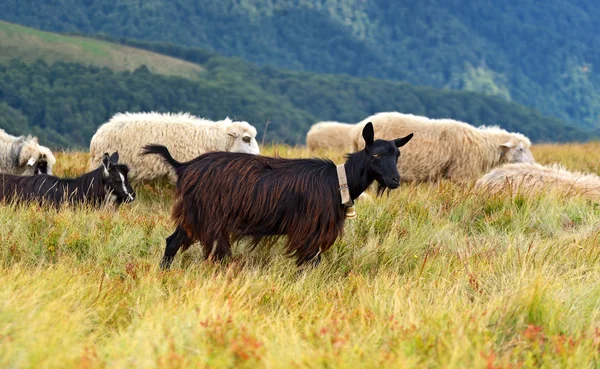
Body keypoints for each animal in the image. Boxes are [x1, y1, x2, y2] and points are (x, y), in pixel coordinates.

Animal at [141, 122, 412, 268]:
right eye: (376, 154)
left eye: (398, 155)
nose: (395, 180)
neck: (338, 180)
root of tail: (183, 166)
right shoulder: (309, 229)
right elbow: (309, 262)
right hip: (206, 215)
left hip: (194, 214)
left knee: (172, 241)